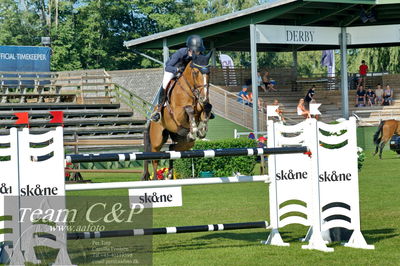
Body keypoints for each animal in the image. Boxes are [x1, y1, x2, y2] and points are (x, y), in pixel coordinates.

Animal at [143, 52, 214, 181]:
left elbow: (207, 108)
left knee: (172, 149)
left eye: (209, 72)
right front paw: (194, 130)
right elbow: (189, 109)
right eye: (195, 73)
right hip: (157, 140)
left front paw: (201, 130)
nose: (204, 97)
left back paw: (170, 174)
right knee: (154, 158)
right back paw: (156, 179)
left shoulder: (202, 106)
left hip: (185, 141)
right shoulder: (178, 113)